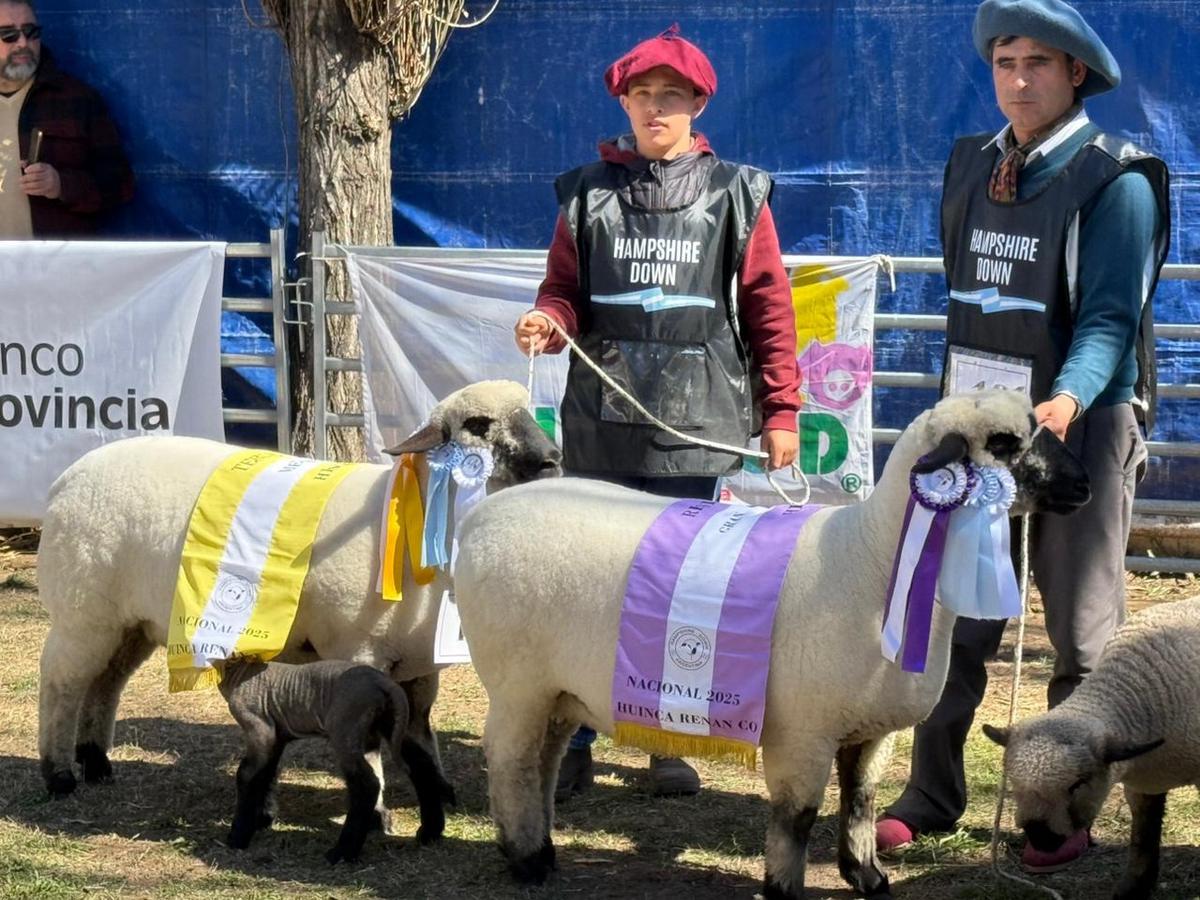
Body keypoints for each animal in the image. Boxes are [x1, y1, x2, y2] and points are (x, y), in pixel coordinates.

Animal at [37, 380, 561, 798]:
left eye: (532, 411)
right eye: (477, 423)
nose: (552, 461)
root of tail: (68, 477)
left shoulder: (418, 664)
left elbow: (420, 731)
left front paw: (438, 791)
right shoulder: (361, 649)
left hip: (132, 621)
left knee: (105, 681)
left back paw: (95, 762)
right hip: (83, 608)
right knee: (62, 681)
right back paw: (59, 774)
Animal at [218, 657, 456, 863]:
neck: (238, 671)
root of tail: (386, 685)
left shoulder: (259, 729)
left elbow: (247, 775)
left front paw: (238, 836)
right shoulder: (276, 736)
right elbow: (266, 773)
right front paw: (262, 819)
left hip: (345, 728)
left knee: (367, 784)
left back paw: (343, 852)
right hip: (394, 724)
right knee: (422, 766)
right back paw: (430, 832)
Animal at [451, 390, 1090, 898]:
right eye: (1005, 443)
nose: (1083, 483)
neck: (871, 561)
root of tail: (483, 515)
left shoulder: (871, 728)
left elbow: (860, 801)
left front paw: (868, 877)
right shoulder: (802, 732)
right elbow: (798, 818)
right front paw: (784, 888)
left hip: (557, 689)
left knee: (543, 761)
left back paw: (540, 846)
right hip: (516, 679)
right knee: (510, 761)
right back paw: (527, 861)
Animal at [982, 595, 1200, 900]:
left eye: (1078, 784)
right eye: (1012, 783)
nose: (1041, 839)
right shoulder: (1143, 784)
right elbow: (1143, 836)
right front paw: (1133, 889)